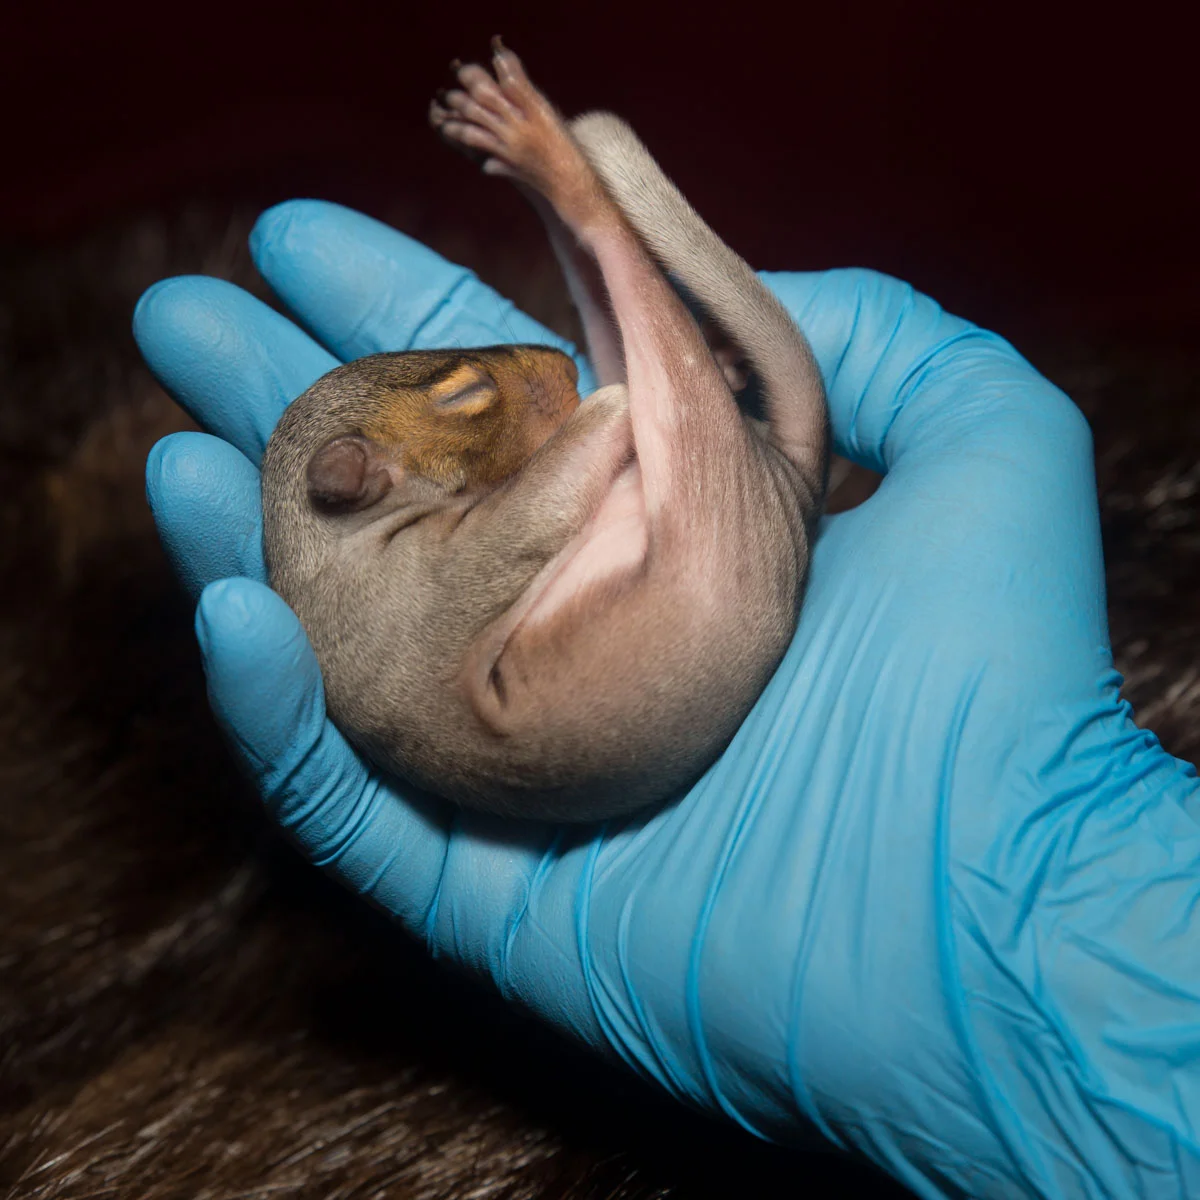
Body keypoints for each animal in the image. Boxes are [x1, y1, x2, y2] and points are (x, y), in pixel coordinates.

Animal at [260, 39, 829, 821]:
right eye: (467, 391)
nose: (562, 363)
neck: (319, 561)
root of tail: (793, 489)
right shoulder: (430, 590)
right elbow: (544, 498)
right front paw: (597, 405)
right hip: (705, 494)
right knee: (630, 303)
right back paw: (548, 155)